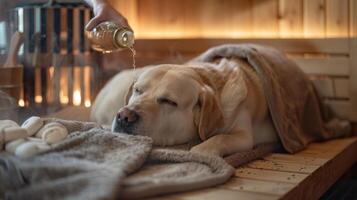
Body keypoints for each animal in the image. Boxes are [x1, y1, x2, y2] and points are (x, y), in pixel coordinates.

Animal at [89, 58, 278, 157]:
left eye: (168, 101)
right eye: (138, 90)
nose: (124, 116)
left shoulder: (244, 135)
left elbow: (220, 138)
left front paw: (200, 151)